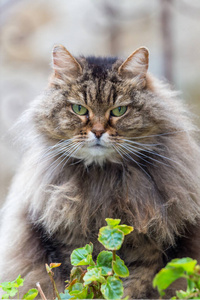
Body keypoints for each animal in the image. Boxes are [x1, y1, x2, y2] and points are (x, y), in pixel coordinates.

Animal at [0, 44, 200, 298]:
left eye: (119, 111)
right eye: (79, 109)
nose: (97, 132)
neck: (104, 181)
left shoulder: (151, 250)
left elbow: (133, 288)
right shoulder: (68, 247)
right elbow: (79, 281)